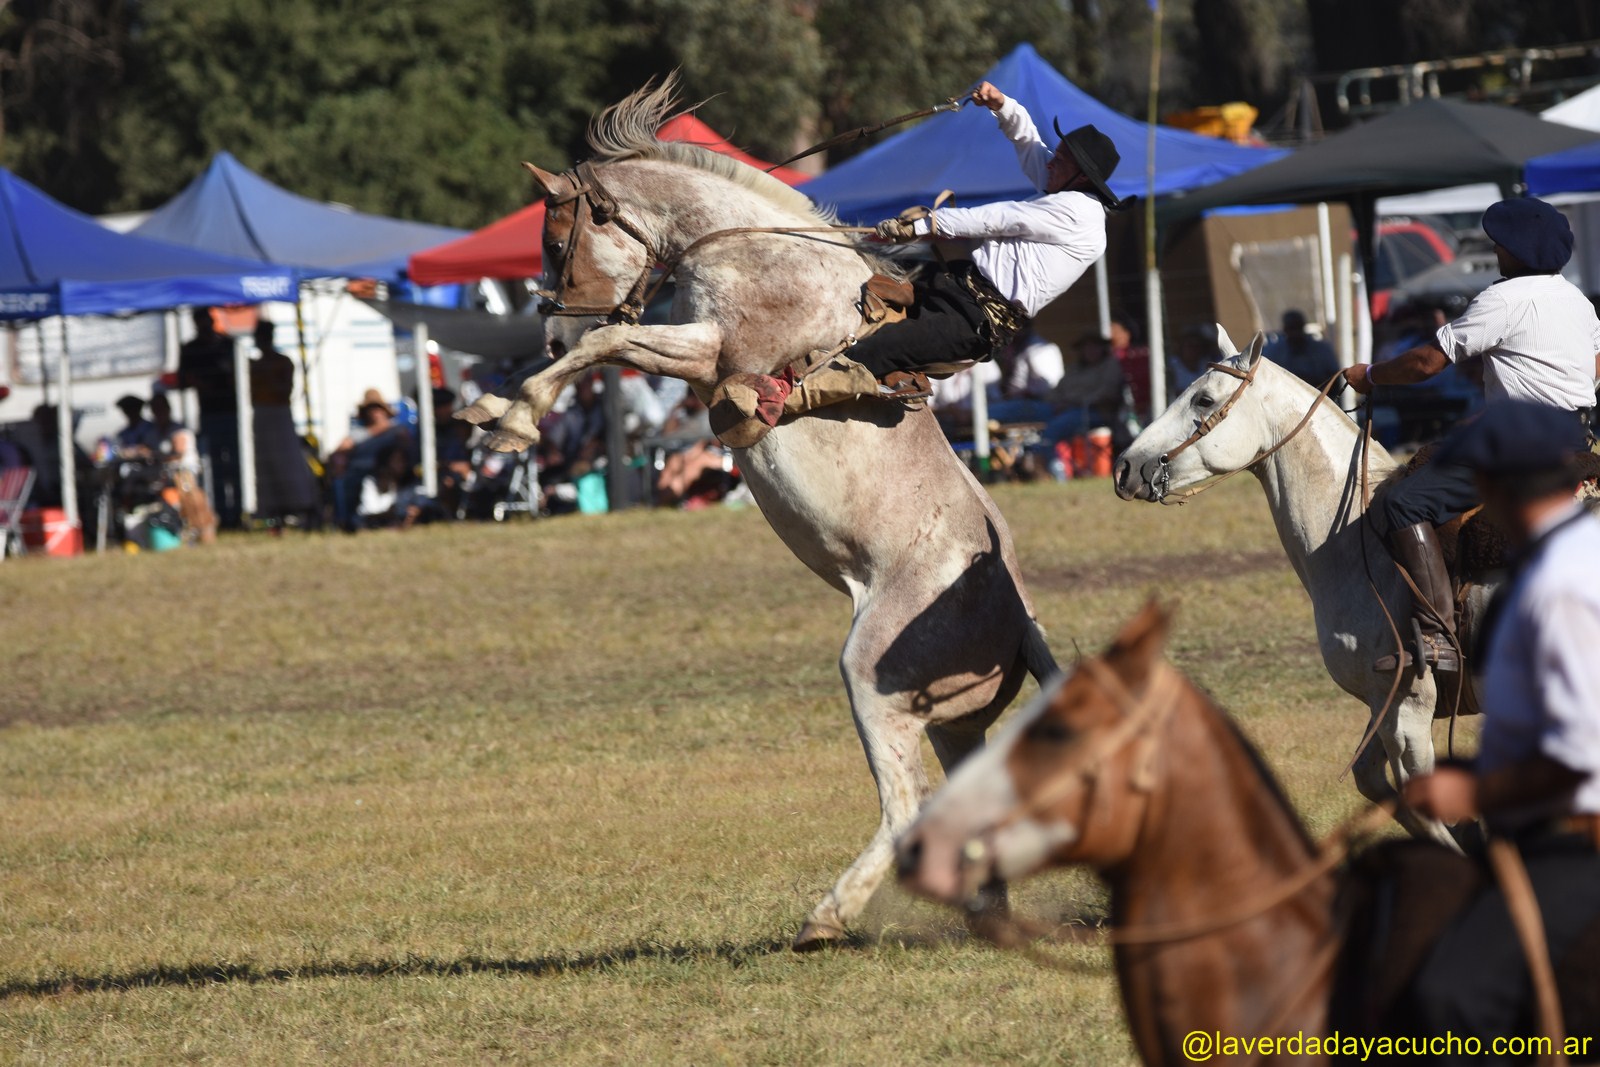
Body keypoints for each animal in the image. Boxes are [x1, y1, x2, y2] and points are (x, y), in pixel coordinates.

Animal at [458, 78, 1058, 950]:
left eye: (555, 238)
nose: (546, 328)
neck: (758, 251)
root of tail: (1016, 612)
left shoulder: (712, 356)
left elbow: (607, 346)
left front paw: (511, 416)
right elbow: (607, 348)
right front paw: (501, 406)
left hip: (873, 675)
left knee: (903, 805)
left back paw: (828, 915)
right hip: (951, 719)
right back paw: (981, 915)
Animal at [1109, 331, 1488, 846]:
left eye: (1203, 398)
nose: (1125, 467)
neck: (1357, 537)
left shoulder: (1407, 709)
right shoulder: (1381, 705)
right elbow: (1371, 780)